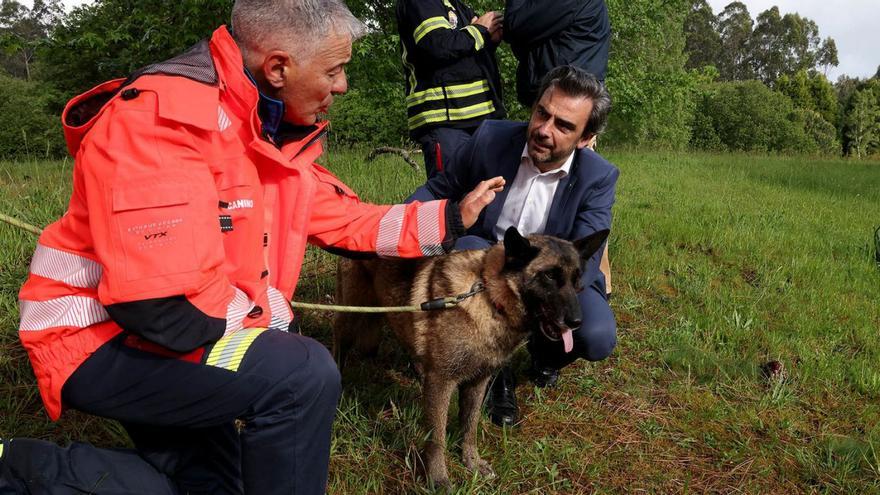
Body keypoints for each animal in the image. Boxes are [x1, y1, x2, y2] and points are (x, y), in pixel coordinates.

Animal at [334, 229, 608, 488]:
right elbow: (437, 439)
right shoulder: (442, 383)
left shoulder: (477, 382)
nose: (576, 322)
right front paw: (437, 478)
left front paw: (471, 462)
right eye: (549, 276)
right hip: (351, 317)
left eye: (577, 280)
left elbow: (470, 427)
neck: (488, 298)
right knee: (340, 345)